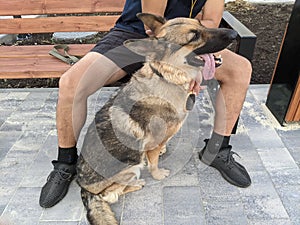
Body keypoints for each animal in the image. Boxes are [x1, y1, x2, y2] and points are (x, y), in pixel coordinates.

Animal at [75, 12, 237, 225]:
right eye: (194, 36)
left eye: (201, 23)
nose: (234, 34)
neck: (168, 77)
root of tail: (83, 188)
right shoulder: (151, 144)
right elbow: (153, 163)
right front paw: (159, 174)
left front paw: (163, 151)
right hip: (131, 167)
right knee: (112, 194)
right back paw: (137, 183)